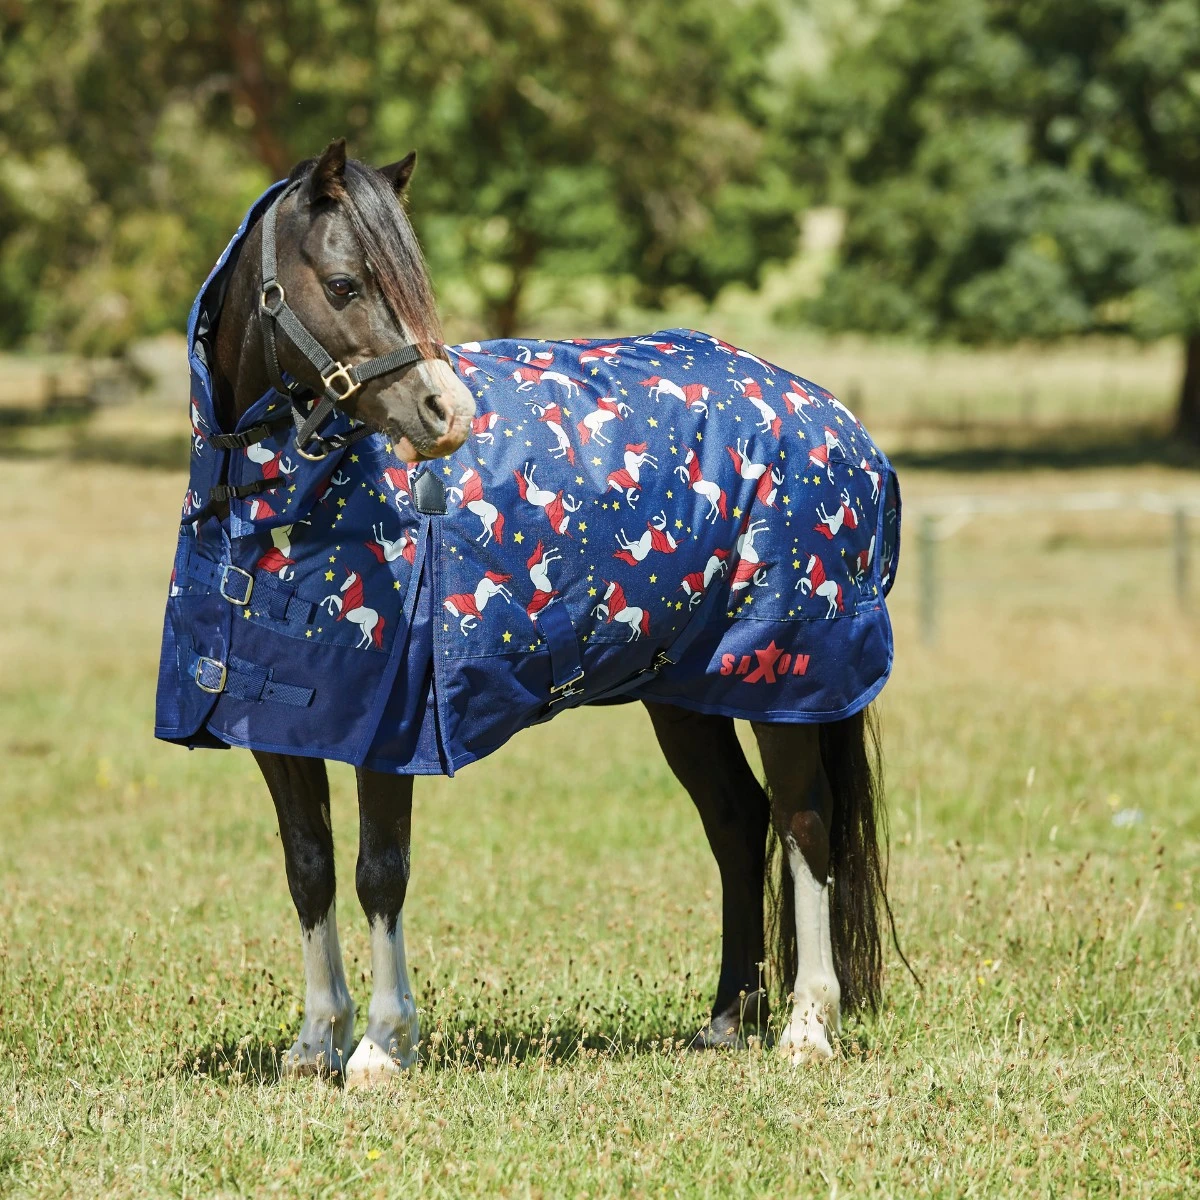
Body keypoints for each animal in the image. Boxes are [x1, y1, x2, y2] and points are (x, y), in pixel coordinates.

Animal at [171, 139, 899, 1089]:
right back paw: (726, 1019)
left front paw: (380, 1045)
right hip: (687, 694)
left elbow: (379, 871)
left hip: (786, 680)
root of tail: (834, 420)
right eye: (343, 284)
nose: (445, 414)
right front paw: (313, 1041)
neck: (278, 507)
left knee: (806, 821)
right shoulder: (281, 723)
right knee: (738, 820)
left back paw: (807, 1026)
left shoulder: (390, 729)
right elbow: (310, 869)